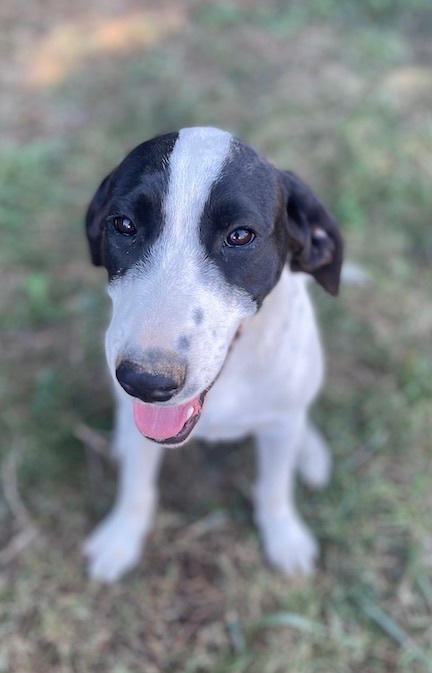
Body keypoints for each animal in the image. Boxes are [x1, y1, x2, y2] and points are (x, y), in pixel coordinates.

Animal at [82, 126, 342, 584]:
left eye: (240, 236)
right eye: (124, 224)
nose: (145, 382)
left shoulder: (278, 425)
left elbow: (274, 488)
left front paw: (285, 537)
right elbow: (136, 488)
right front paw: (120, 538)